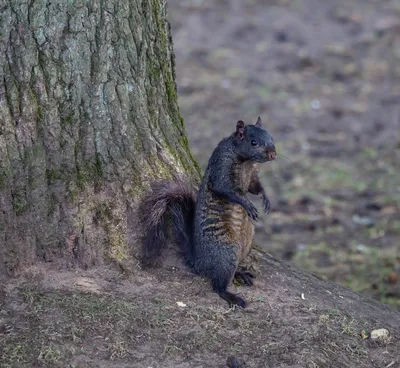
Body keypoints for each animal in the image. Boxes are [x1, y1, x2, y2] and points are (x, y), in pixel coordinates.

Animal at [140, 118, 276, 308]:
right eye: (253, 142)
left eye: (271, 137)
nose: (273, 155)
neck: (246, 161)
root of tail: (200, 262)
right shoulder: (221, 165)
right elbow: (225, 189)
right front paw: (247, 204)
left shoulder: (252, 175)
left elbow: (254, 187)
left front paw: (266, 198)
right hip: (226, 252)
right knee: (218, 285)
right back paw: (232, 296)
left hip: (246, 244)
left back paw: (241, 273)